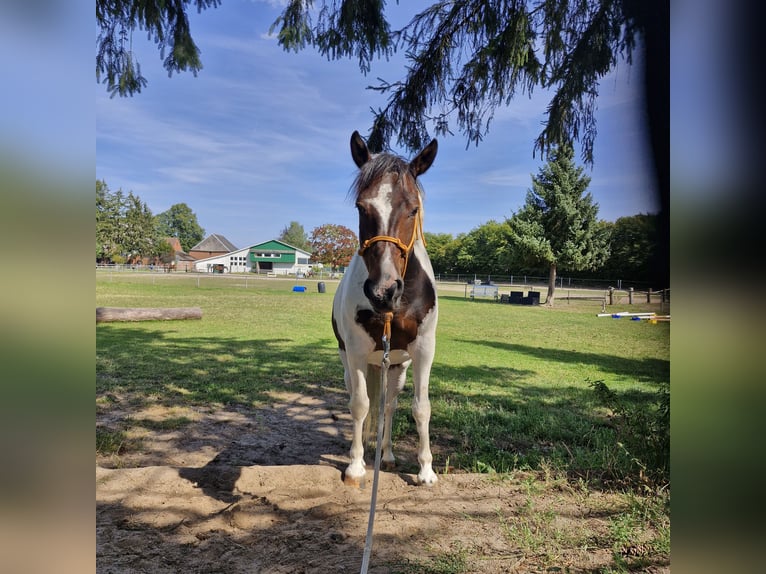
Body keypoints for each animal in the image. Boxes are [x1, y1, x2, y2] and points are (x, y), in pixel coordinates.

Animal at [332, 132, 440, 490]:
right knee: (362, 400)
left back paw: (388, 454)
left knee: (389, 406)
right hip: (353, 361)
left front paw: (425, 470)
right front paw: (355, 466)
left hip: (395, 367)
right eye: (361, 207)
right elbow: (359, 405)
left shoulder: (423, 351)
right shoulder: (355, 351)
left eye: (413, 209)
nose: (383, 291)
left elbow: (421, 408)